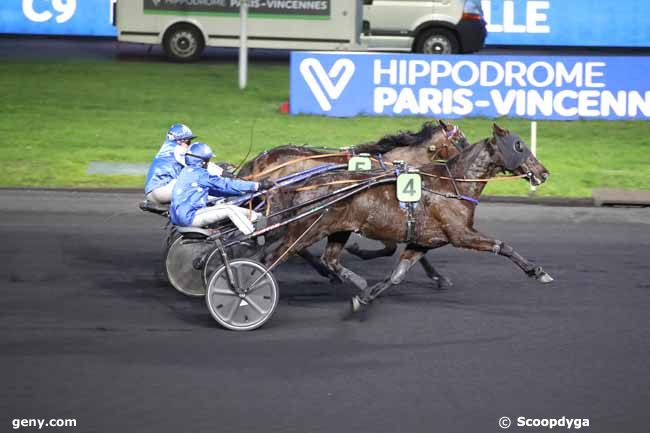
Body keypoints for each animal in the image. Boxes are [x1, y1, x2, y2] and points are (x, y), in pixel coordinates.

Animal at [260, 123, 548, 312]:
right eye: (520, 146)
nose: (543, 173)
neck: (451, 184)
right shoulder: (460, 234)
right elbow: (502, 245)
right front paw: (537, 271)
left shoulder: (425, 239)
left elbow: (398, 273)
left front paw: (365, 297)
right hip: (307, 228)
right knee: (273, 257)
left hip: (335, 229)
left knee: (327, 258)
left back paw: (350, 281)